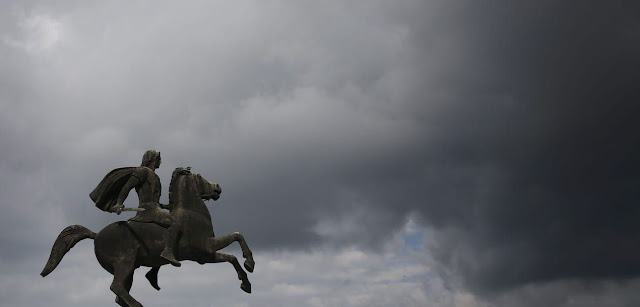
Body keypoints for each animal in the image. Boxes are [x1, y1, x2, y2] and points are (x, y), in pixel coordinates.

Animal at [38, 168, 255, 307]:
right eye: (200, 176)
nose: (218, 188)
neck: (191, 213)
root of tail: (96, 234)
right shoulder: (205, 249)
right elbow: (237, 236)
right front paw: (250, 264)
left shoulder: (204, 256)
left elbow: (232, 255)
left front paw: (246, 282)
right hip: (125, 263)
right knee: (116, 287)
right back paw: (139, 304)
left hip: (129, 268)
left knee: (119, 295)